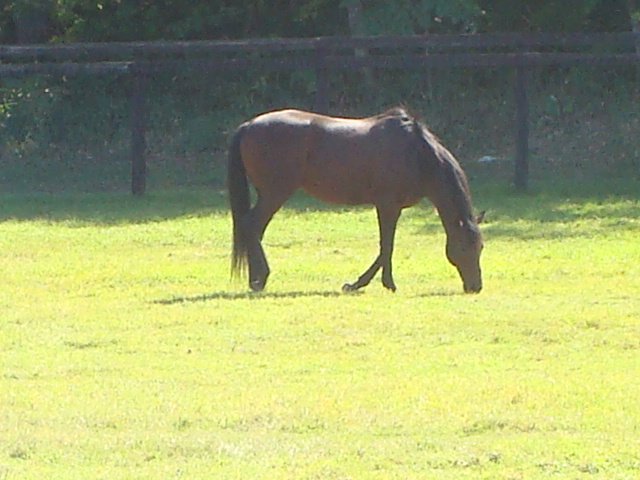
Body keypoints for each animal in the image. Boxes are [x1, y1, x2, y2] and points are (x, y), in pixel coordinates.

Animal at [228, 108, 482, 292]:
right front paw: (386, 284)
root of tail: (248, 126)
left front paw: (357, 284)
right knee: (251, 226)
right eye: (465, 246)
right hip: (275, 194)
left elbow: (385, 248)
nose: (476, 287)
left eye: (480, 246)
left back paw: (255, 279)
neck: (416, 153)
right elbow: (387, 245)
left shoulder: (394, 207)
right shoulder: (387, 206)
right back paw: (261, 278)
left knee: (254, 231)